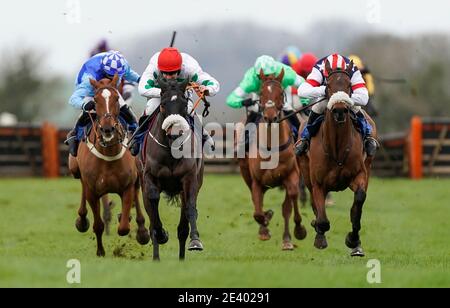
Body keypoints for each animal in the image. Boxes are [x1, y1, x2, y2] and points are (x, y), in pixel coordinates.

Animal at [68, 75, 149, 258]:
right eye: (95, 100)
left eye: (116, 98)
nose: (107, 128)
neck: (109, 153)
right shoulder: (92, 191)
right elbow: (98, 225)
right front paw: (100, 251)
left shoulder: (127, 187)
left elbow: (124, 227)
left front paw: (129, 222)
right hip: (75, 169)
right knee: (81, 185)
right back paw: (81, 220)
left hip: (139, 173)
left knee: (137, 193)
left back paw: (141, 229)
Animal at [237, 68, 308, 249]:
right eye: (261, 93)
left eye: (281, 93)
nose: (270, 117)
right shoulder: (256, 181)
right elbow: (257, 212)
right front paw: (265, 225)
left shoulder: (291, 175)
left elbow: (290, 200)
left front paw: (298, 231)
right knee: (258, 201)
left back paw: (287, 238)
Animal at [300, 60, 378, 258]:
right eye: (328, 85)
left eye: (349, 85)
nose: (340, 110)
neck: (337, 147)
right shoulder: (318, 183)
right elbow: (322, 217)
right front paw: (319, 236)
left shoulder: (359, 174)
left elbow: (358, 204)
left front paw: (353, 240)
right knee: (314, 204)